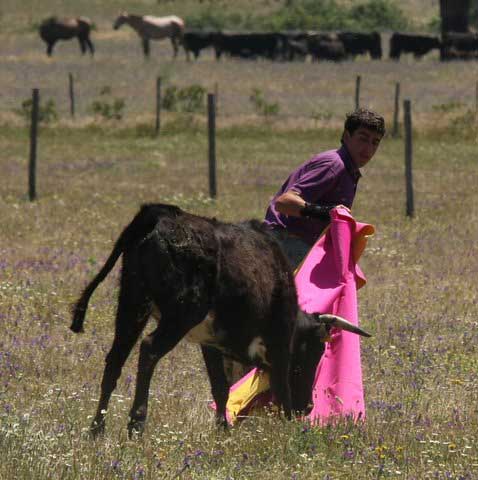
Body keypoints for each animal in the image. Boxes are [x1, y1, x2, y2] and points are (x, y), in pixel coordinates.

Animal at [71, 202, 370, 436]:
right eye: (315, 350)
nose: (306, 408)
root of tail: (159, 216)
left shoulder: (211, 344)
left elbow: (220, 387)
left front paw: (223, 430)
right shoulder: (280, 341)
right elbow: (281, 384)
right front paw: (286, 429)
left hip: (131, 304)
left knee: (115, 360)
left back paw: (97, 428)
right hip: (180, 314)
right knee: (148, 350)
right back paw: (136, 424)